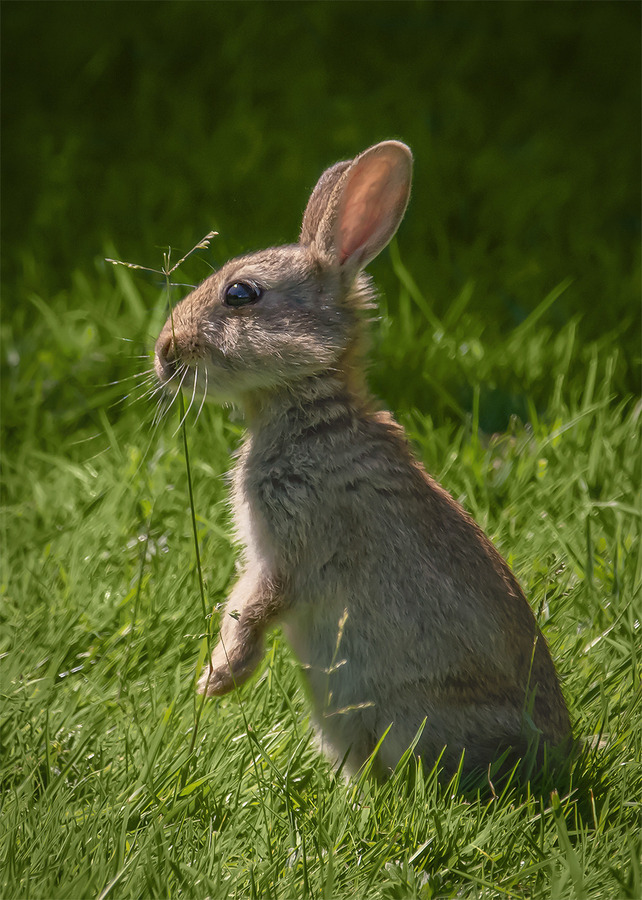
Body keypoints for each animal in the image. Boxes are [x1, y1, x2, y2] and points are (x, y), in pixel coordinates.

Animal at [154, 141, 568, 780]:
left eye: (241, 294)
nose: (163, 351)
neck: (309, 411)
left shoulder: (293, 544)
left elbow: (255, 605)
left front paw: (218, 679)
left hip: (411, 717)